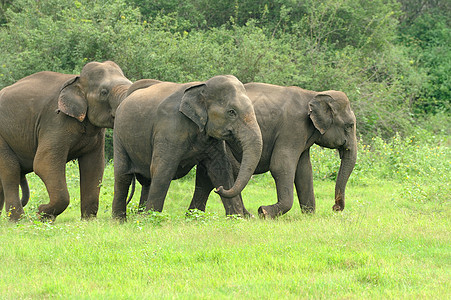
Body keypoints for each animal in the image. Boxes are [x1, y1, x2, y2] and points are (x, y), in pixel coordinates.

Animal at [0, 61, 145, 220]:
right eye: (104, 92)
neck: (77, 80)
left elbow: (94, 166)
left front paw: (88, 221)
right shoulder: (55, 120)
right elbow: (43, 163)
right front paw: (42, 214)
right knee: (11, 171)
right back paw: (17, 220)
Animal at [111, 75, 264, 220]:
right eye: (232, 112)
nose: (218, 189)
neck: (202, 86)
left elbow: (220, 170)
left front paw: (237, 219)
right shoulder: (169, 128)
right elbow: (162, 170)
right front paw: (152, 220)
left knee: (146, 181)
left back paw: (139, 216)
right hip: (119, 136)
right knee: (123, 176)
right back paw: (119, 221)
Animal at [189, 82, 358, 218]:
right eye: (349, 125)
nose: (335, 208)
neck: (313, 95)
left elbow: (304, 171)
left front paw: (309, 215)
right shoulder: (293, 127)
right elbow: (280, 166)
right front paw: (264, 212)